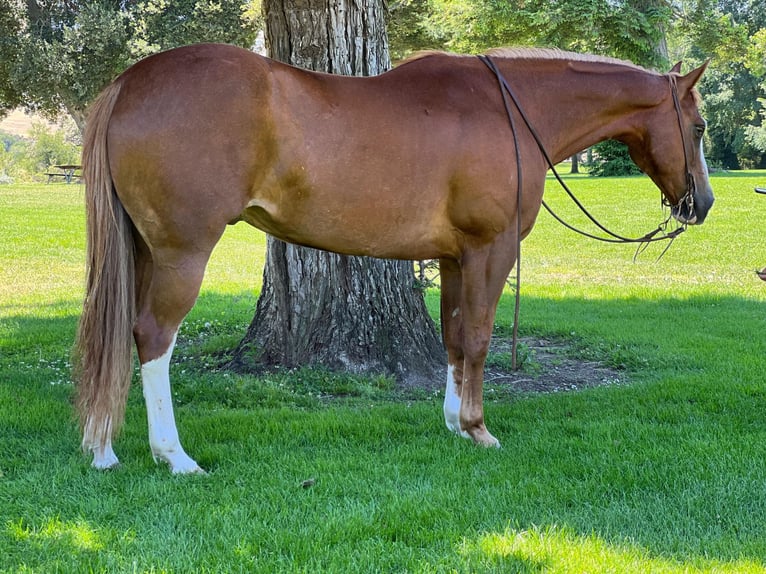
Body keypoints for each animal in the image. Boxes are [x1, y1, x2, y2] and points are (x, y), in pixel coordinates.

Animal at [75, 42, 716, 474]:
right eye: (700, 126)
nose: (703, 203)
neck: (508, 110)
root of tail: (130, 82)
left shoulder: (456, 258)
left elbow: (455, 337)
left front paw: (456, 424)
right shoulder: (491, 249)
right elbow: (478, 337)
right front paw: (480, 429)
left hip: (145, 251)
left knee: (118, 334)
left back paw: (103, 447)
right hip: (183, 252)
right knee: (153, 336)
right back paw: (173, 455)